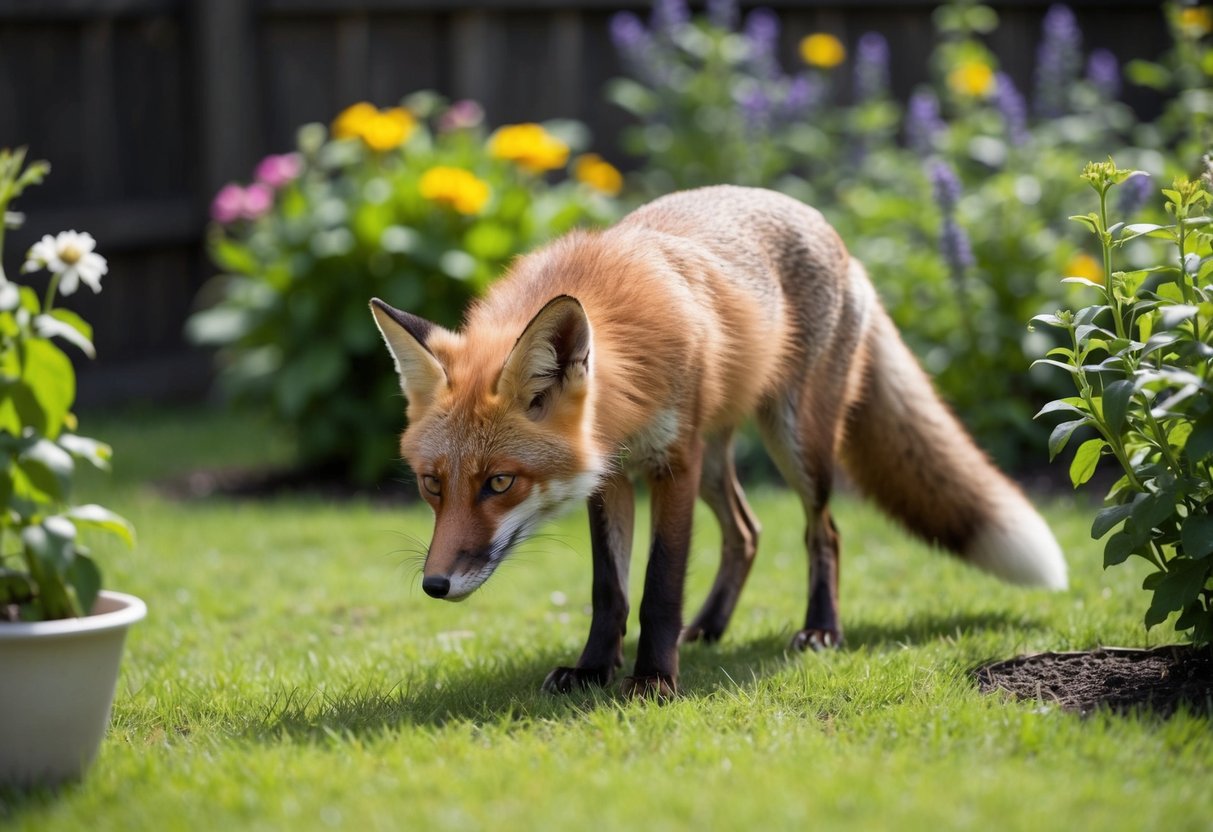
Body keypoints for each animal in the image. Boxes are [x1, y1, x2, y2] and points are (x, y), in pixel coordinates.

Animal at [369, 185, 1067, 699]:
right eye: (432, 485)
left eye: (499, 482)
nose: (435, 586)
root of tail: (827, 227)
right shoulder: (610, 475)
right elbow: (609, 589)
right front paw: (594, 670)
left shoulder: (673, 462)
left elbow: (660, 585)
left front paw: (653, 680)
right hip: (719, 458)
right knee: (748, 530)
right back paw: (709, 627)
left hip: (796, 441)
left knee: (825, 532)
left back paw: (820, 629)